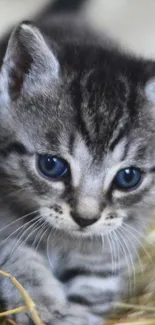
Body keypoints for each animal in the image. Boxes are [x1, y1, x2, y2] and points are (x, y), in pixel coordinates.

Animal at [0, 12, 155, 324]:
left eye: (128, 177)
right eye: (51, 166)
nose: (85, 219)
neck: (65, 240)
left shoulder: (107, 257)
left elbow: (91, 295)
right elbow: (17, 255)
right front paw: (42, 302)